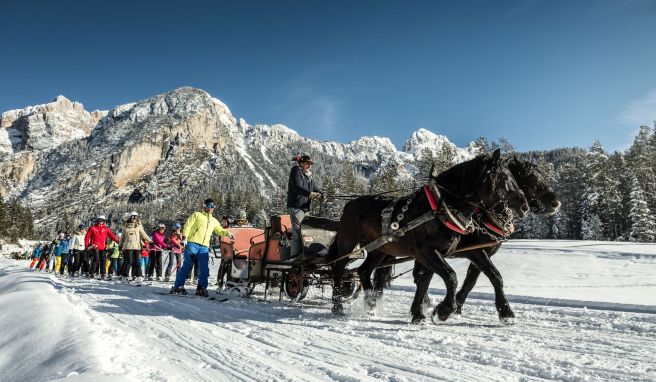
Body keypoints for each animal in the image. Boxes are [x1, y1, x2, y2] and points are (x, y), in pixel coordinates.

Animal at [328, 149, 528, 320]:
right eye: (504, 177)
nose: (524, 206)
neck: (440, 207)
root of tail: (350, 203)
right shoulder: (429, 252)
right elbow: (451, 277)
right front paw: (444, 311)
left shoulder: (446, 252)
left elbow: (429, 280)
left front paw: (419, 313)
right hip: (348, 243)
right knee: (338, 269)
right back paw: (338, 305)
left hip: (380, 249)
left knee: (364, 271)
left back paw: (370, 303)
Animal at [376, 157, 560, 324]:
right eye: (532, 177)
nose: (556, 203)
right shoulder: (475, 251)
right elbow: (494, 276)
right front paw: (505, 312)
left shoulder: (481, 254)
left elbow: (472, 281)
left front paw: (456, 307)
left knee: (416, 276)